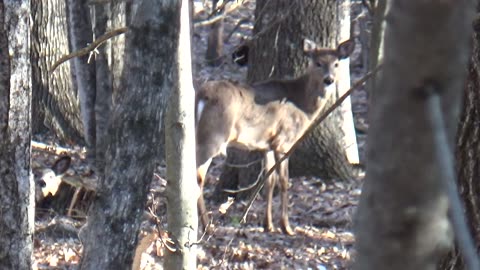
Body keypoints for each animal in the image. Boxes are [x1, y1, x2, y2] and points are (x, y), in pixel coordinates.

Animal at [193, 38, 354, 234]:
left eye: (336, 63)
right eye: (318, 63)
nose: (329, 79)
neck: (302, 104)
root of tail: (202, 95)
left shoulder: (267, 145)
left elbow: (269, 181)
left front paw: (268, 224)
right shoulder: (284, 141)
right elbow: (284, 181)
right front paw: (286, 226)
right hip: (213, 136)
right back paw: (206, 227)